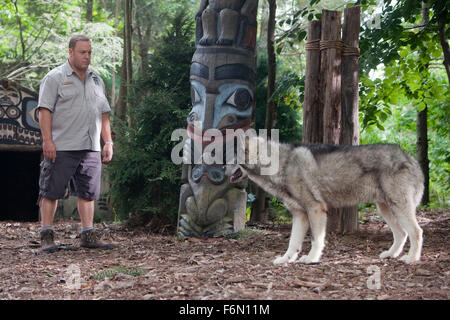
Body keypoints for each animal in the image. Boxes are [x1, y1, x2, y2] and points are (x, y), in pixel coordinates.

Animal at [230, 138, 424, 264]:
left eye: (229, 158)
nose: (221, 171)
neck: (279, 164)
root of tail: (411, 159)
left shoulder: (315, 209)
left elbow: (316, 240)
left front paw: (312, 259)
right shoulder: (300, 215)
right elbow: (293, 243)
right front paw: (286, 259)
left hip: (398, 208)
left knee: (416, 232)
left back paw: (412, 258)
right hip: (385, 209)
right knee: (402, 233)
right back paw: (391, 255)